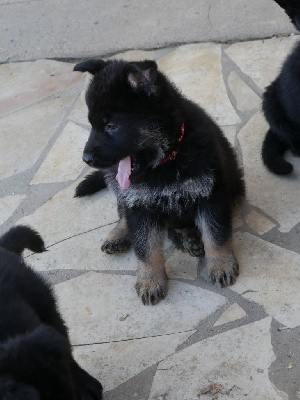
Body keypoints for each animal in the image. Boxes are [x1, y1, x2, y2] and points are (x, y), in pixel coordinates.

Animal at [74, 57, 245, 304]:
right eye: (91, 124)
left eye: (111, 126)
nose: (85, 159)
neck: (166, 158)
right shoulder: (140, 203)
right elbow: (145, 247)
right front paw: (150, 280)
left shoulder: (211, 193)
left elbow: (216, 233)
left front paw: (221, 264)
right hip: (115, 180)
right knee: (124, 212)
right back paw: (120, 235)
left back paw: (189, 238)